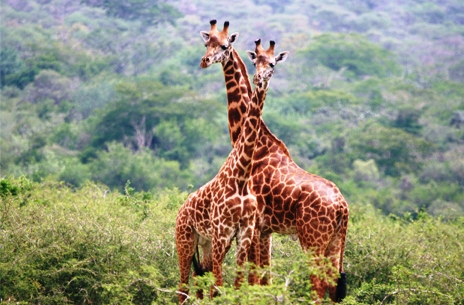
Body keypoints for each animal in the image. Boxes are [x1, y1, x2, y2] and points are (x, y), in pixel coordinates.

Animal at [175, 36, 284, 300]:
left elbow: (236, 285)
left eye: (273, 63)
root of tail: (180, 211)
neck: (241, 177)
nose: (259, 79)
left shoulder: (243, 234)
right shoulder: (222, 233)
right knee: (183, 288)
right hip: (185, 242)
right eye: (256, 61)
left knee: (198, 281)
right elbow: (219, 287)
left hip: (203, 244)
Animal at [199, 19, 348, 302]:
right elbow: (265, 279)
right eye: (206, 43)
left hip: (312, 239)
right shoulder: (266, 229)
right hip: (337, 240)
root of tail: (342, 207)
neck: (257, 146)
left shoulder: (256, 226)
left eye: (224, 46)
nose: (205, 60)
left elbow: (254, 278)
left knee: (317, 288)